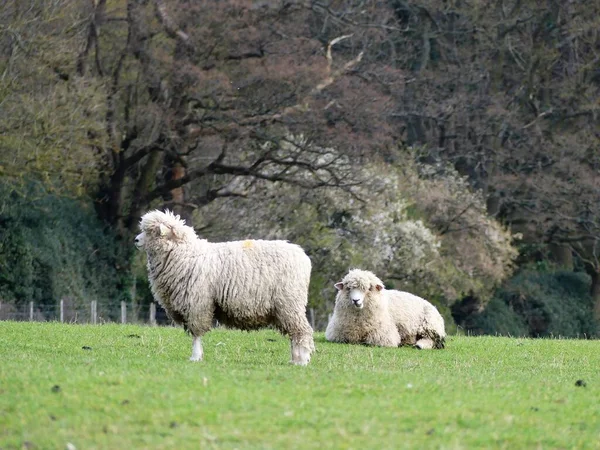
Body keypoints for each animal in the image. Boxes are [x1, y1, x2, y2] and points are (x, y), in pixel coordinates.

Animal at [134, 210, 316, 366]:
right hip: (284, 307)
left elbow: (196, 333)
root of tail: (304, 257)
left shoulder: (197, 302)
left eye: (151, 231)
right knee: (293, 332)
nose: (135, 240)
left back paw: (302, 360)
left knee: (302, 331)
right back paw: (294, 359)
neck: (184, 253)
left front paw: (195, 356)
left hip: (289, 301)